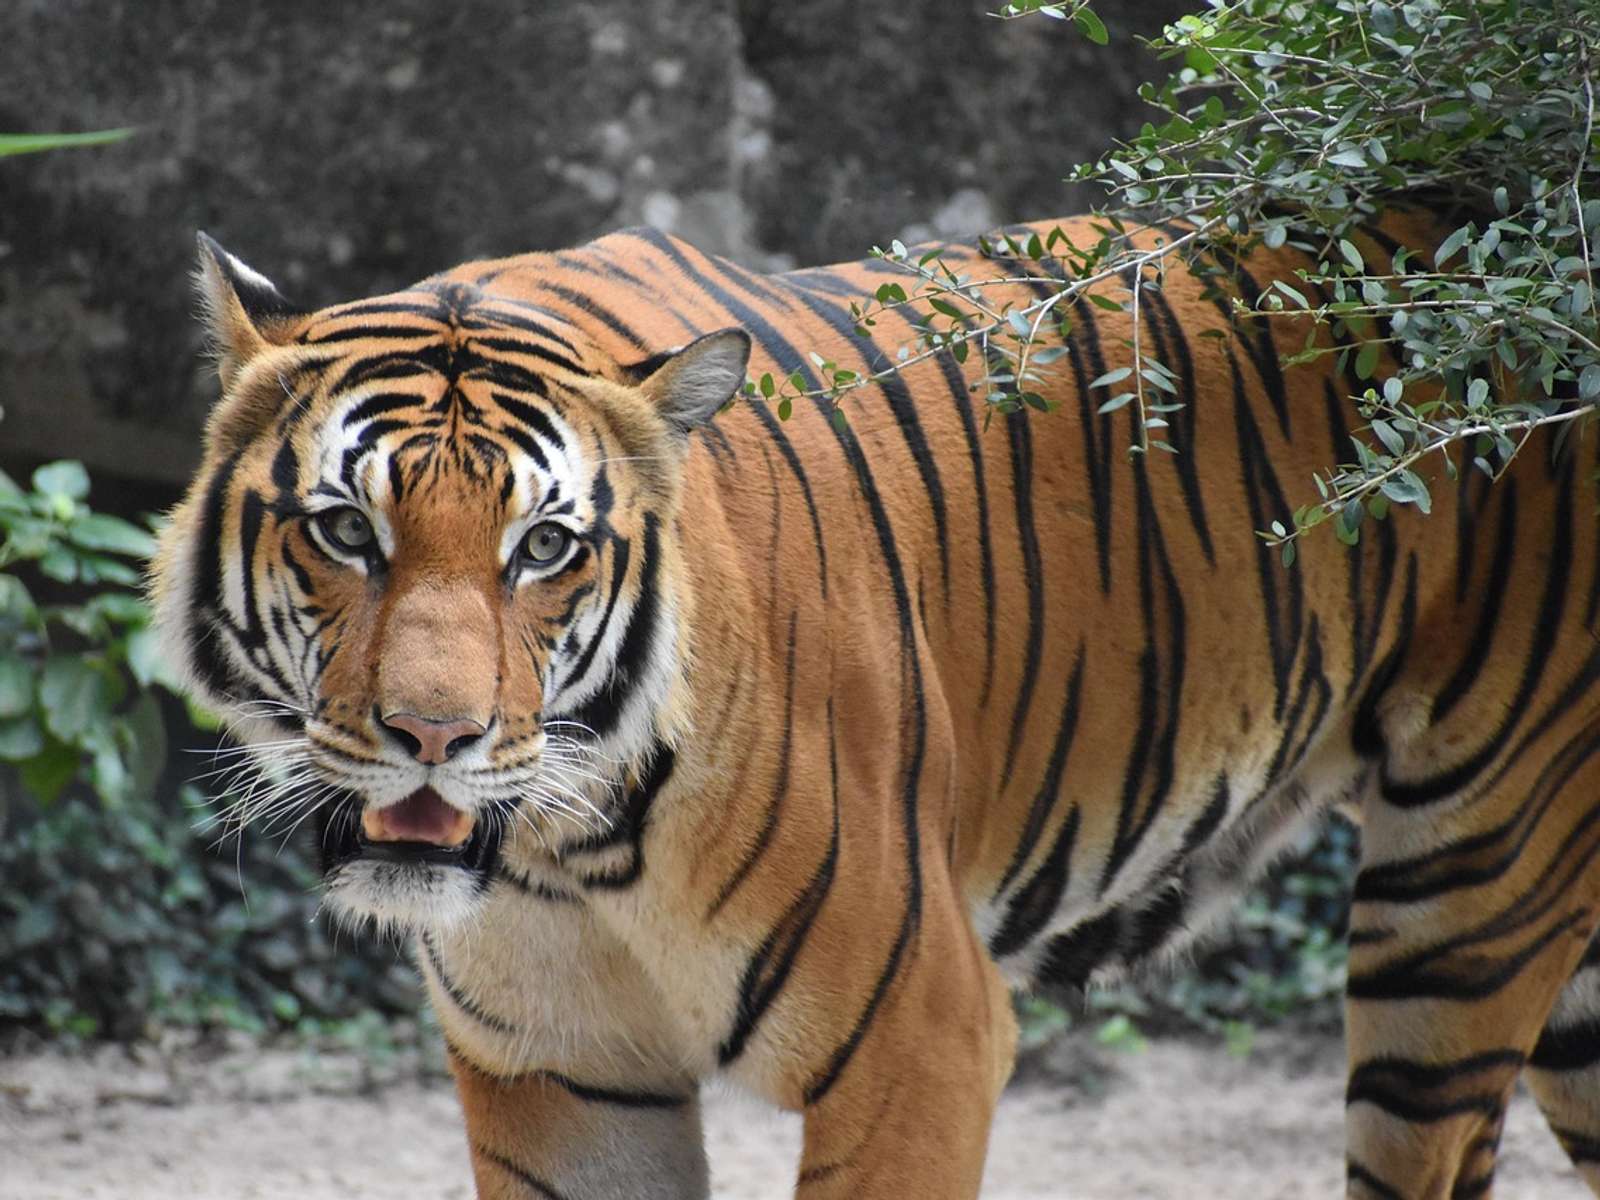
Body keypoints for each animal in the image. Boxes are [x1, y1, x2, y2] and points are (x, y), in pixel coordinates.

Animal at [148, 207, 1600, 1200]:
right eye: (347, 530)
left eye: (544, 548)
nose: (433, 739)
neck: (567, 854)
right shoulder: (560, 1075)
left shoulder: (924, 1038)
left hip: (1463, 906)